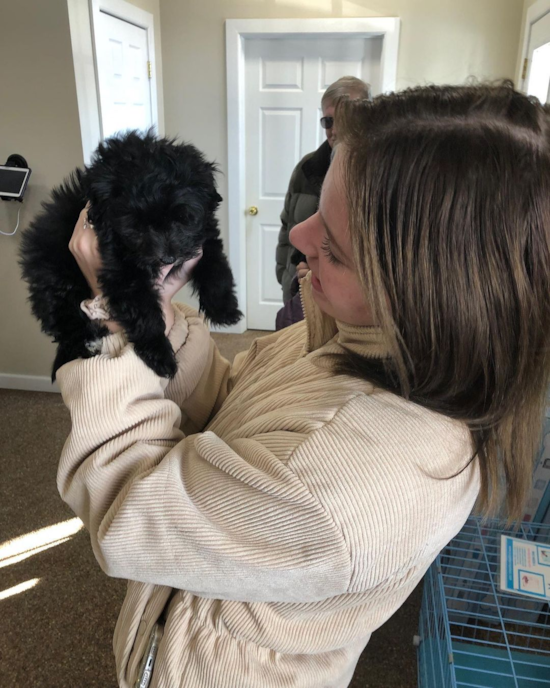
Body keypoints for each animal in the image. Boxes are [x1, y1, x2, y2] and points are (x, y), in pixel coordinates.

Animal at [20, 129, 244, 382]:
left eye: (183, 218)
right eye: (136, 226)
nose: (167, 259)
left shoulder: (204, 241)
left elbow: (216, 268)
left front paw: (225, 309)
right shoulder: (122, 274)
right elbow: (145, 313)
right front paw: (161, 355)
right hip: (57, 281)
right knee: (65, 322)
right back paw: (89, 343)